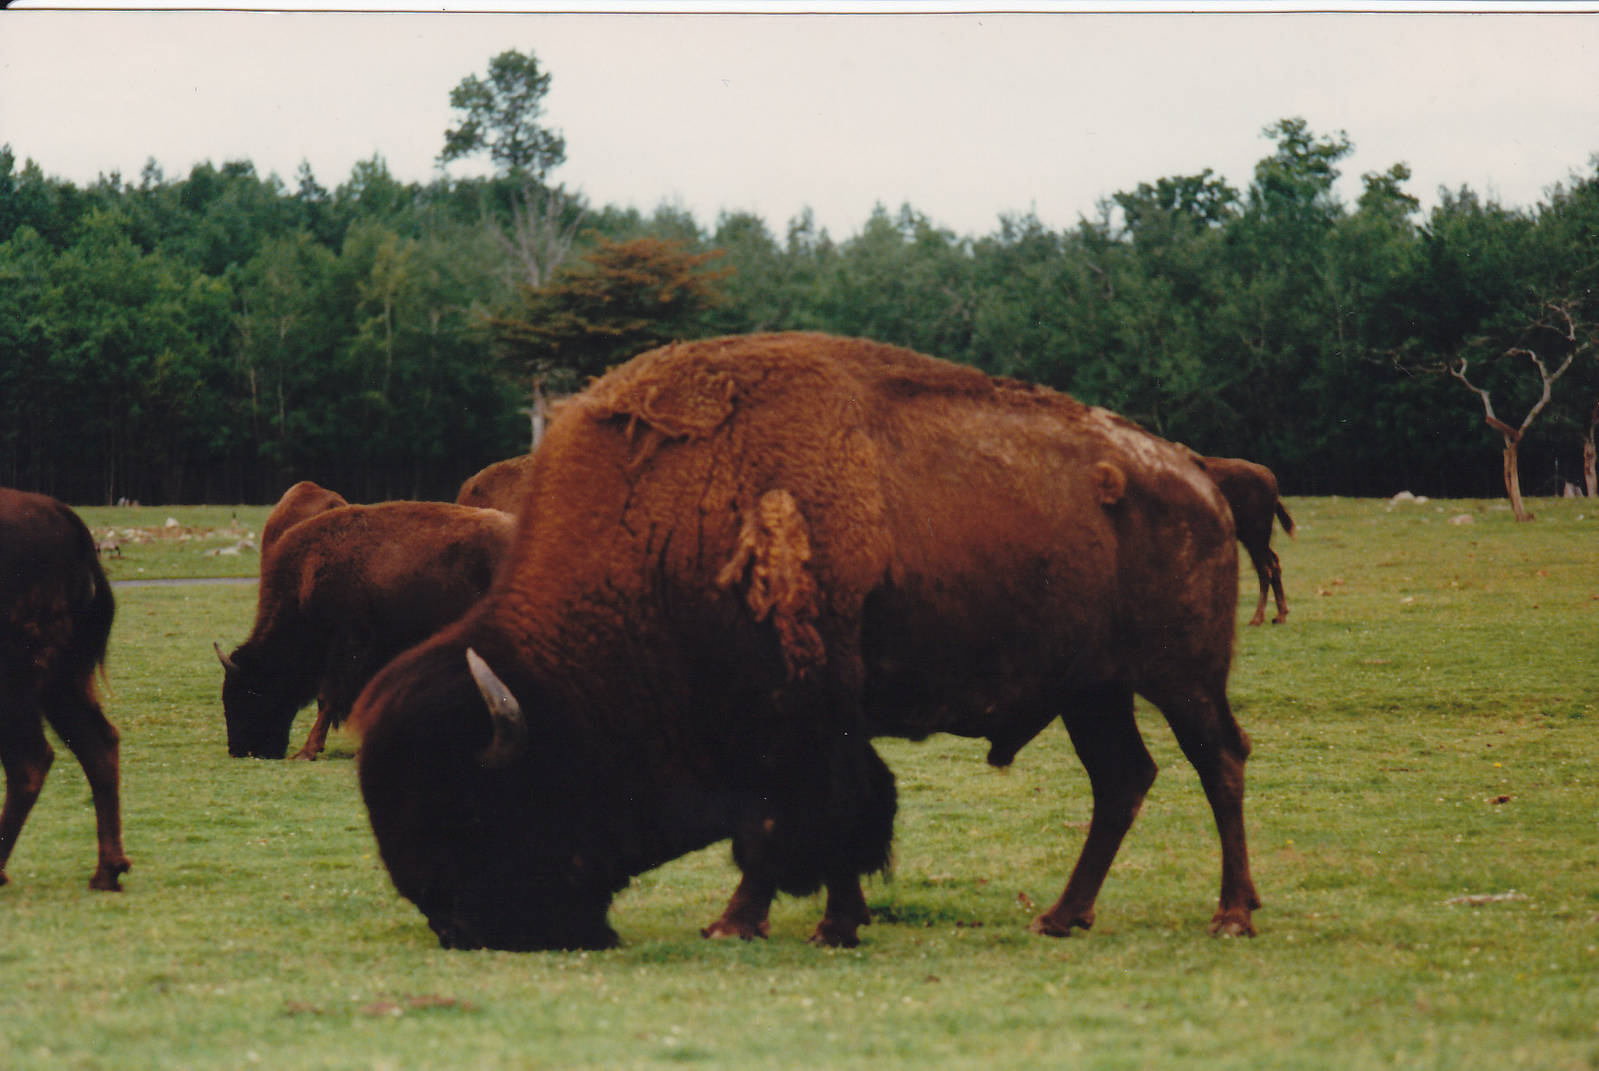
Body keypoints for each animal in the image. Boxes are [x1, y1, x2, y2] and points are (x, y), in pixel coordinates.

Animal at [217, 501, 513, 760]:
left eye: (248, 694)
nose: (239, 750)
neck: (307, 576)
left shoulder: (346, 648)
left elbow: (328, 698)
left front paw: (307, 751)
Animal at [352, 332, 1258, 951]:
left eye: (469, 808)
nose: (458, 923)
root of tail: (1195, 471)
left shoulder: (798, 723)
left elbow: (808, 819)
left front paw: (779, 923)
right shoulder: (797, 728)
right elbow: (811, 822)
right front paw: (792, 921)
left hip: (1181, 676)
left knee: (1217, 762)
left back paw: (1230, 913)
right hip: (1091, 690)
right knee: (1122, 778)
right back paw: (1062, 915)